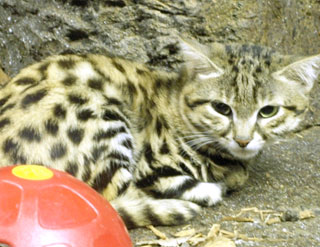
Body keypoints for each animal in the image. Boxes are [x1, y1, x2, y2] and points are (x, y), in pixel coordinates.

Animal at [0, 39, 318, 229]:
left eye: (268, 111)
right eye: (221, 108)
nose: (243, 140)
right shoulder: (152, 165)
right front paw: (222, 179)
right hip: (97, 111)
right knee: (112, 198)